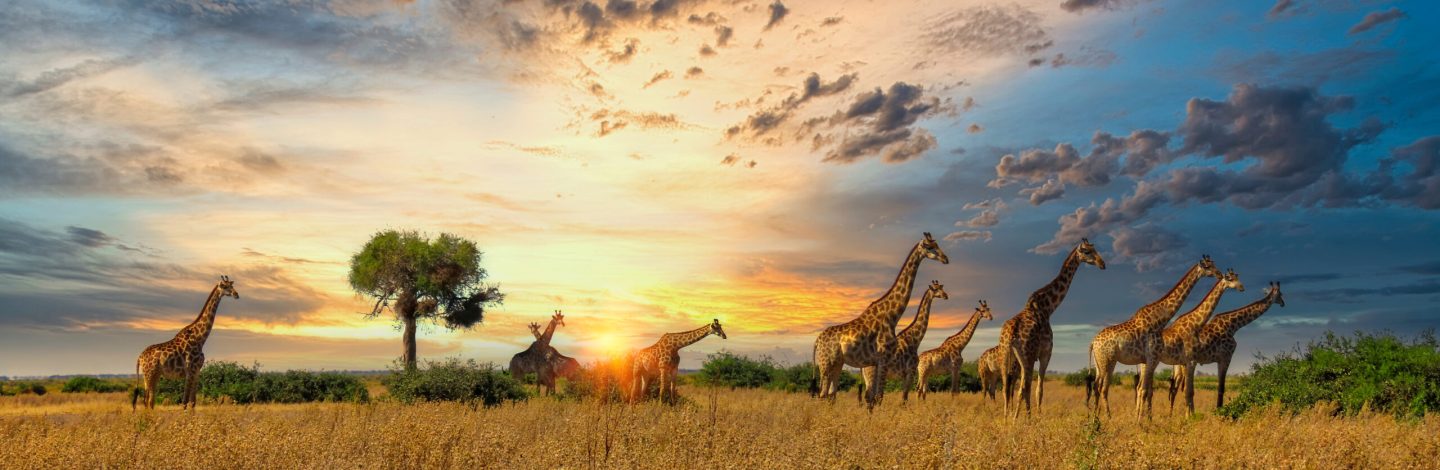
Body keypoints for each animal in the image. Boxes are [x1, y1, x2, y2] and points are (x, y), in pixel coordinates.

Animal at [133, 276, 240, 409]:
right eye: (225, 286)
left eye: (232, 285)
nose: (236, 294)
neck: (200, 339)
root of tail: (139, 357)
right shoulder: (190, 370)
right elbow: (184, 401)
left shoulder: (197, 371)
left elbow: (193, 401)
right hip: (149, 374)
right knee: (147, 400)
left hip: (154, 375)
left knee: (149, 401)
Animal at [817, 233, 950, 409]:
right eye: (930, 247)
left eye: (937, 244)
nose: (945, 258)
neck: (892, 316)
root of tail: (817, 341)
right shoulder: (888, 361)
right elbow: (881, 397)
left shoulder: (877, 362)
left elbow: (874, 397)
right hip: (826, 363)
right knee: (822, 394)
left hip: (838, 364)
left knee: (831, 394)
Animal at [996, 240, 1105, 418]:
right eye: (1087, 251)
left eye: (1094, 249)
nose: (1102, 264)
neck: (1048, 308)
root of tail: (1011, 333)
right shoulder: (1045, 353)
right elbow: (1039, 390)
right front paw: (1037, 418)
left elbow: (1029, 389)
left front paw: (1029, 417)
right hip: (1027, 355)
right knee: (1022, 388)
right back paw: (1017, 421)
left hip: (1005, 354)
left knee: (1007, 387)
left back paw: (1007, 420)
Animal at [1082, 255, 1221, 420]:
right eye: (1207, 266)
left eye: (1213, 264)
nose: (1220, 274)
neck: (1160, 319)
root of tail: (1092, 343)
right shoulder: (1152, 357)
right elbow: (1144, 390)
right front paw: (1140, 420)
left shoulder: (1147, 360)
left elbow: (1146, 390)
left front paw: (1144, 418)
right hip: (1106, 361)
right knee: (1100, 387)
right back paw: (1105, 417)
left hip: (1102, 362)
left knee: (1098, 386)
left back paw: (1096, 417)